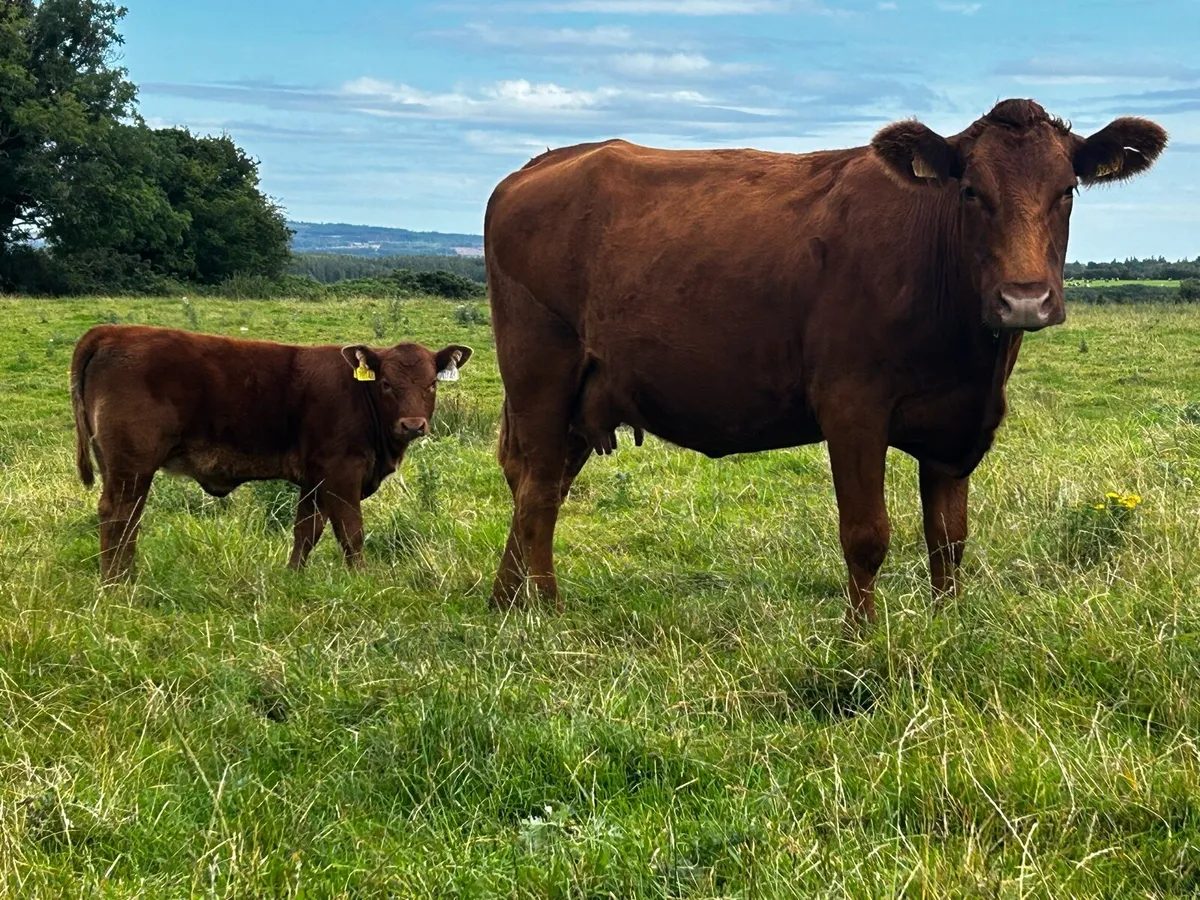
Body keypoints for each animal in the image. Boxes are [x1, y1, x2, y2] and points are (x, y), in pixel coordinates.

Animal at [70, 325, 471, 580]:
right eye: (387, 384)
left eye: (431, 383)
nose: (413, 425)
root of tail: (111, 331)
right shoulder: (341, 471)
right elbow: (350, 530)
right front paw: (362, 579)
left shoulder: (315, 479)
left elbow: (307, 529)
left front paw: (293, 576)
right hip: (132, 464)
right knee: (118, 515)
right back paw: (117, 583)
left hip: (118, 464)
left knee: (127, 518)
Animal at [483, 98, 1166, 627]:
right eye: (971, 191)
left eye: (1067, 191)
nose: (1024, 298)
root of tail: (542, 163)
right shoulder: (852, 407)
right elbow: (866, 536)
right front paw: (859, 639)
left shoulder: (957, 427)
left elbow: (948, 540)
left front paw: (951, 627)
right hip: (540, 372)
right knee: (538, 486)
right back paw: (547, 613)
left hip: (585, 393)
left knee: (537, 483)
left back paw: (506, 601)